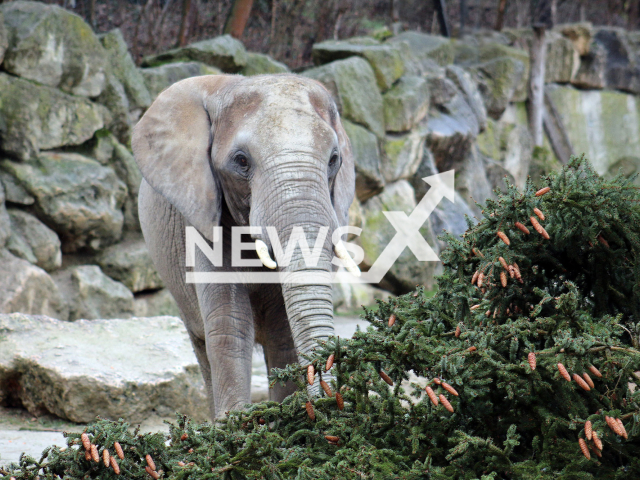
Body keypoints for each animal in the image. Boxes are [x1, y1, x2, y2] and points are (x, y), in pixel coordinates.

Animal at [132, 74, 358, 420]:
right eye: (241, 161)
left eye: (333, 160)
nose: (328, 401)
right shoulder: (204, 215)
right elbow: (230, 322)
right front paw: (236, 426)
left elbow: (283, 331)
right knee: (202, 343)